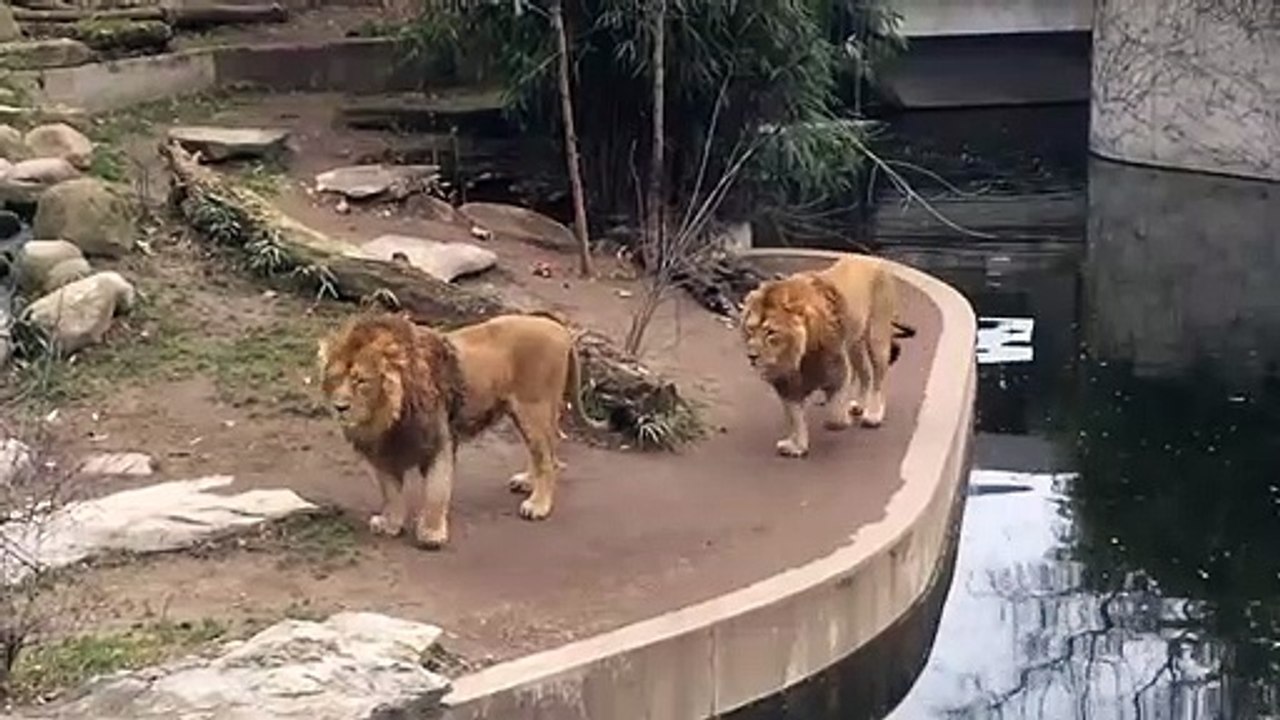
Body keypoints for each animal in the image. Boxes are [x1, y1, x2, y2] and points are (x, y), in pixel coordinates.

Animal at [317, 311, 604, 550]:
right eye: (335, 378)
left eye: (361, 381)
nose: (340, 407)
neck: (386, 416)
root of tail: (558, 326)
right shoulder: (384, 452)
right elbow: (391, 493)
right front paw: (390, 525)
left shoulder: (439, 442)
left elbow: (436, 491)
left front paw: (431, 535)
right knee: (543, 453)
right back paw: (527, 482)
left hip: (534, 409)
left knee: (547, 459)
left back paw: (538, 505)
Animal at [739, 254, 910, 458]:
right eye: (750, 329)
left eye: (771, 332)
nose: (751, 356)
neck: (795, 356)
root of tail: (870, 258)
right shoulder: (786, 383)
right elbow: (795, 418)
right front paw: (797, 446)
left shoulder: (838, 368)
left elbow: (835, 412)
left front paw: (838, 422)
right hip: (855, 345)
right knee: (866, 374)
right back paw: (859, 405)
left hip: (877, 339)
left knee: (878, 380)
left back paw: (873, 415)